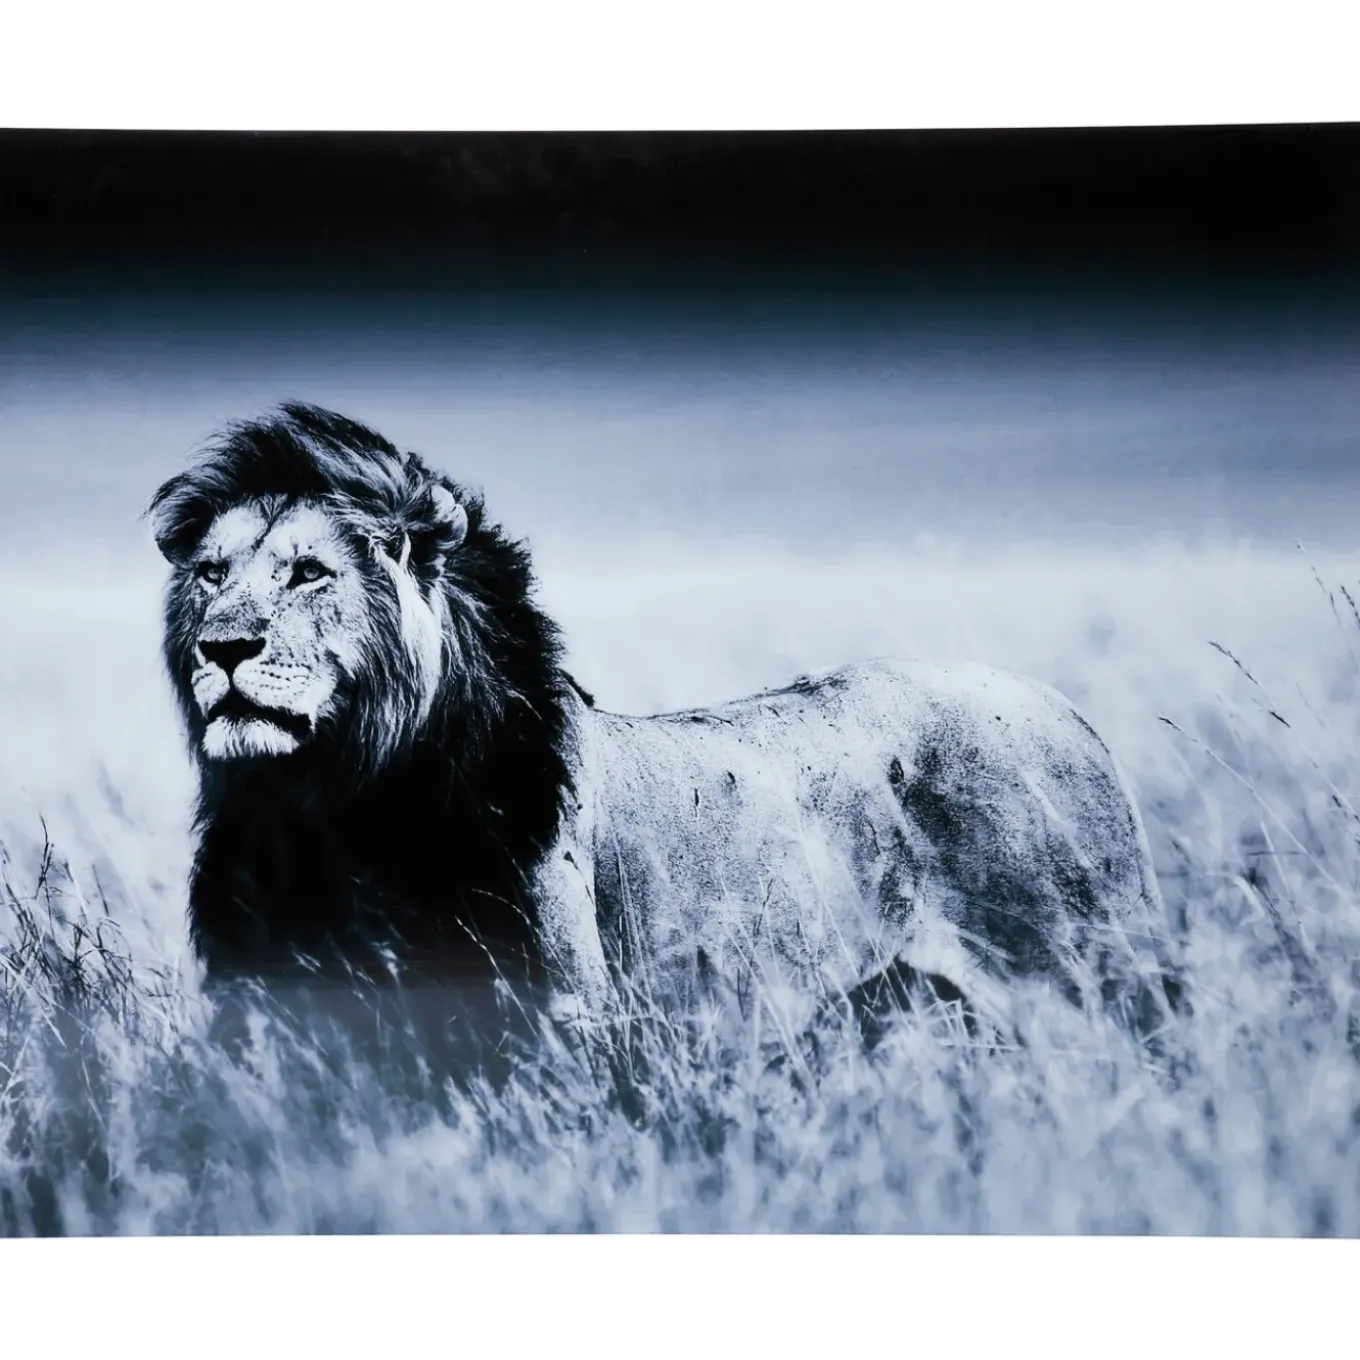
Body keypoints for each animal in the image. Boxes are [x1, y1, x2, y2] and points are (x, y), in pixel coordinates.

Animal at [149, 402, 1180, 1038]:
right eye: (212, 575)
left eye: (307, 573)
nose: (223, 648)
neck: (335, 810)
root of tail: (1067, 710)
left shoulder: (558, 1016)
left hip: (1092, 981)